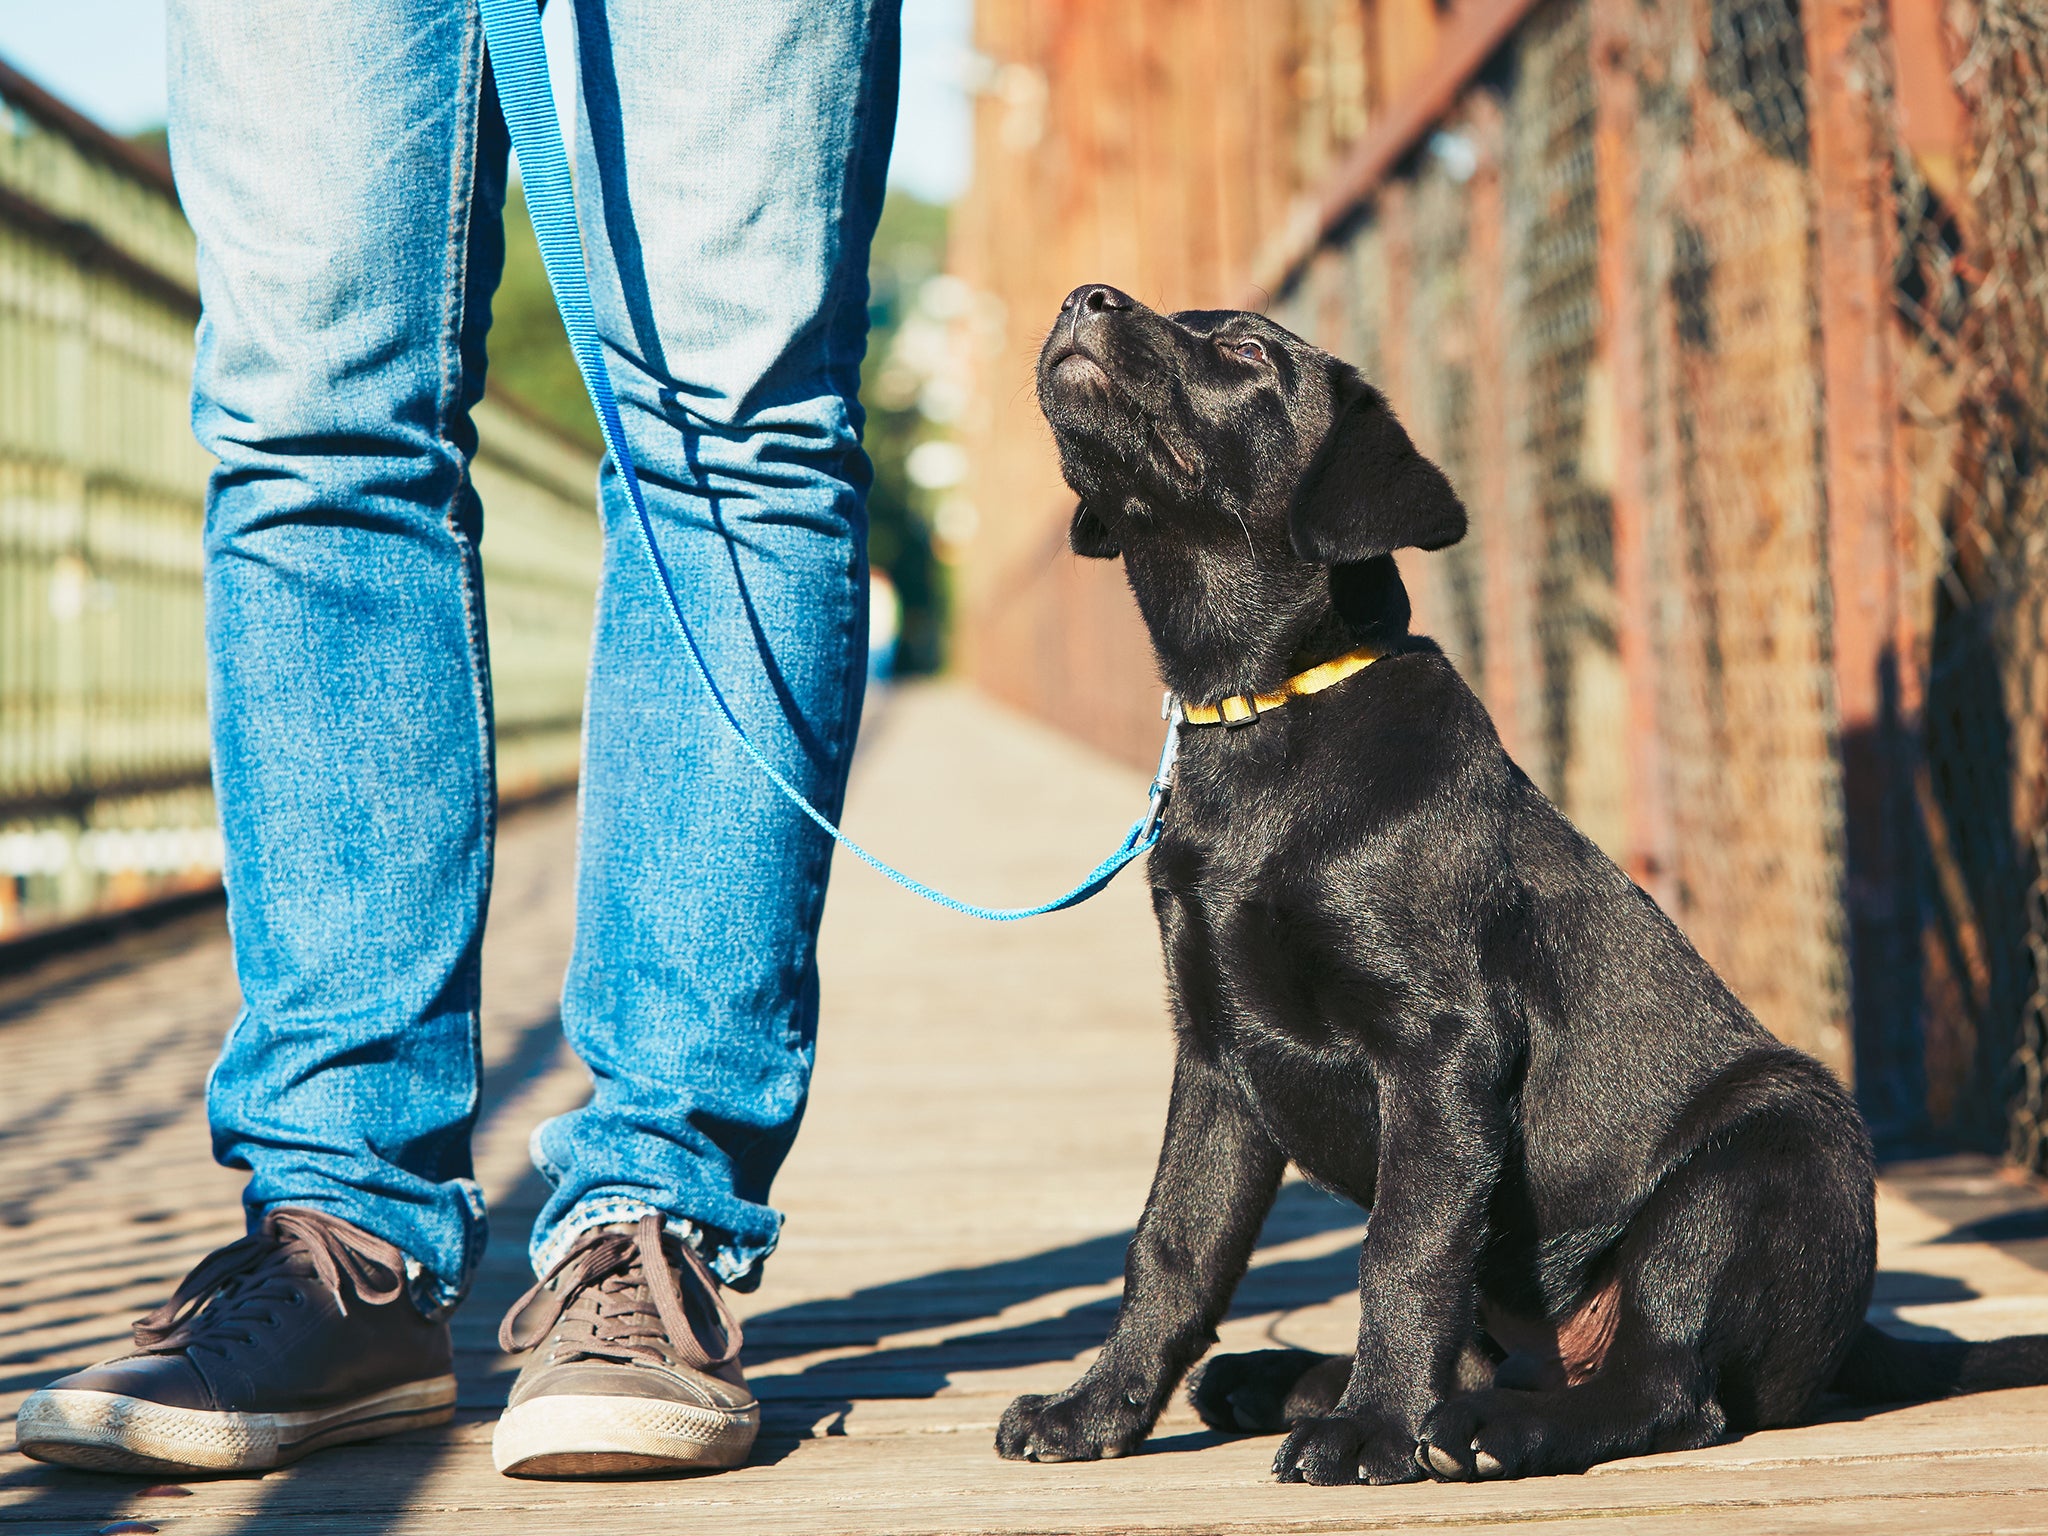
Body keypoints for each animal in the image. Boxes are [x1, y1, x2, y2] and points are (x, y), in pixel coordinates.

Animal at [995, 282, 2048, 1482]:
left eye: (1251, 354)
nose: (1086, 297)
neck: (1267, 710)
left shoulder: (1440, 1047)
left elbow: (1401, 1254)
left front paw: (1370, 1430)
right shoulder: (1219, 1056)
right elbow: (1172, 1247)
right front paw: (1094, 1411)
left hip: (1764, 1154)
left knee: (1667, 1386)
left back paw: (1482, 1428)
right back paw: (1285, 1378)